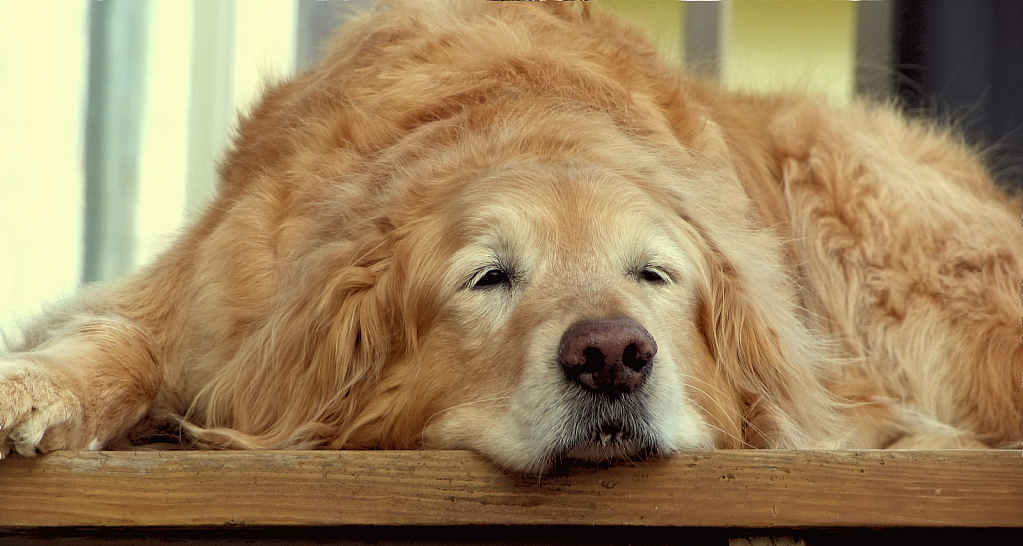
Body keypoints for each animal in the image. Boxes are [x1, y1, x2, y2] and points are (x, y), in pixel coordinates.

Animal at [1, 0, 1023, 472]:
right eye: (488, 278)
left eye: (654, 275)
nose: (610, 356)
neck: (516, 119)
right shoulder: (209, 296)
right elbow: (117, 344)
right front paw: (36, 387)